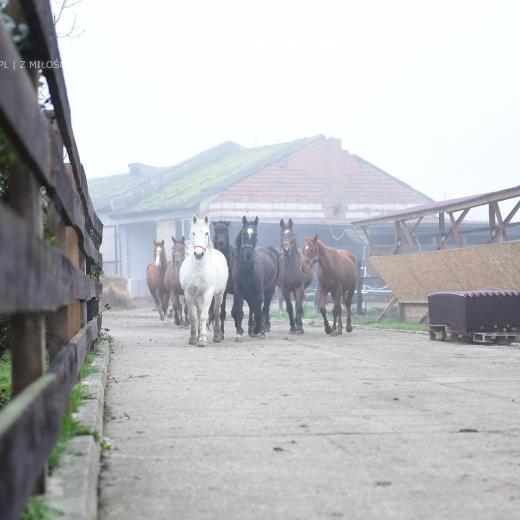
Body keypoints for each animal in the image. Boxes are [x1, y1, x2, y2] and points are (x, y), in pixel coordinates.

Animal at [179, 214, 228, 346]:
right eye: (193, 233)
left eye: (206, 233)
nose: (198, 254)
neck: (198, 269)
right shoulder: (189, 294)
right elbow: (194, 316)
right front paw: (193, 338)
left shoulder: (208, 293)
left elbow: (204, 315)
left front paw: (202, 339)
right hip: (198, 297)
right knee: (199, 312)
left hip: (219, 294)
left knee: (216, 311)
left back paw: (217, 336)